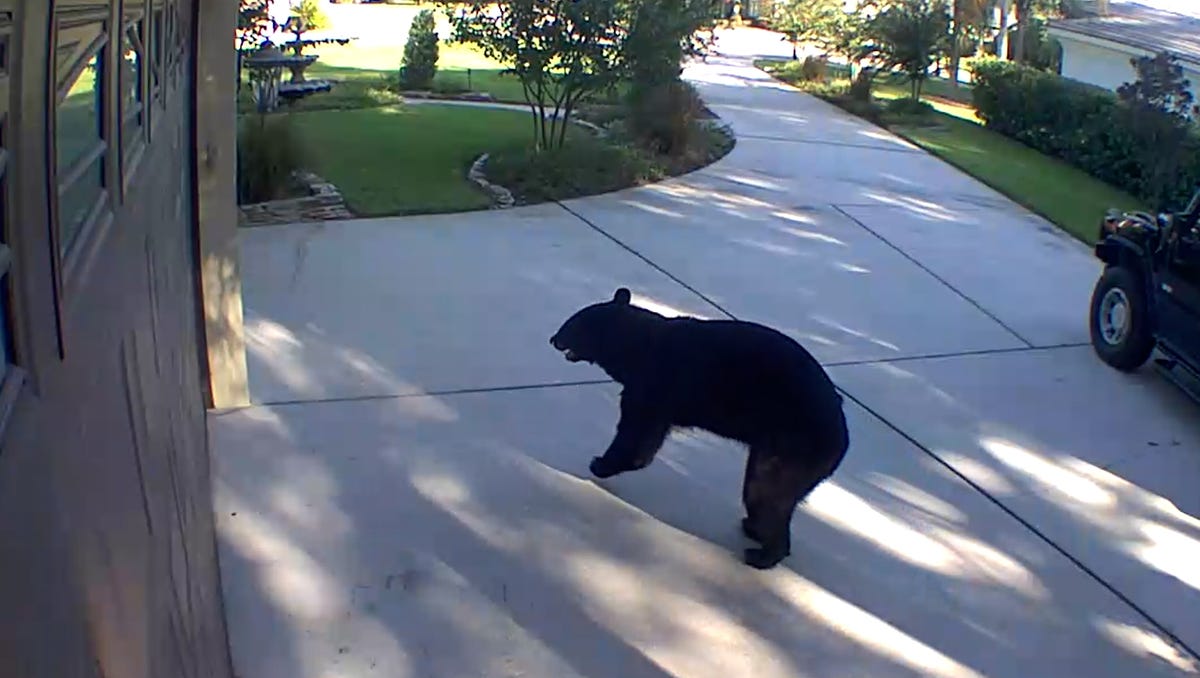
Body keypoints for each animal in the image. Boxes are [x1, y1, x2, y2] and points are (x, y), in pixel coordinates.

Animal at [550, 287, 850, 570]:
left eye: (570, 325)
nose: (553, 338)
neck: (636, 347)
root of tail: (842, 441)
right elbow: (647, 440)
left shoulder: (652, 386)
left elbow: (636, 434)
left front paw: (600, 464)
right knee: (762, 492)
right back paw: (754, 529)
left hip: (792, 446)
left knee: (767, 490)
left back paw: (762, 554)